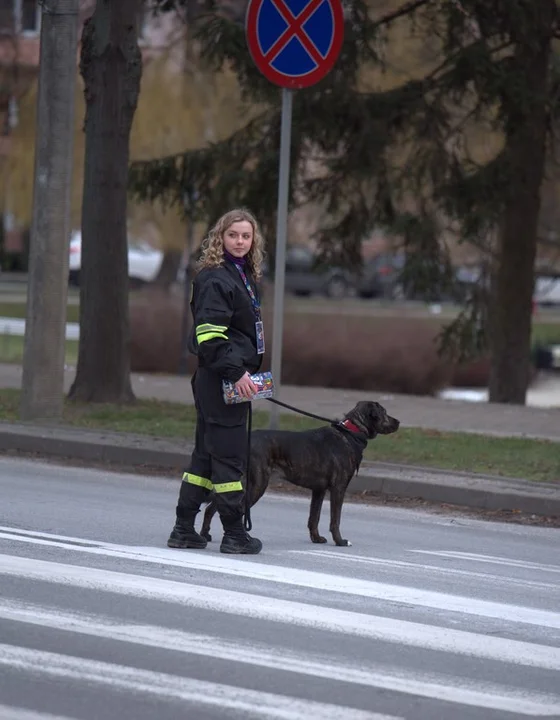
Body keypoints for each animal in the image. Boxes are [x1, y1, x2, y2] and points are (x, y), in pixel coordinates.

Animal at [200, 400, 398, 544]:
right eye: (384, 412)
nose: (398, 422)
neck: (352, 431)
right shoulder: (338, 489)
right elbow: (335, 519)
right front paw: (340, 541)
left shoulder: (318, 490)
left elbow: (313, 518)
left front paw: (316, 538)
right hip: (257, 484)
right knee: (238, 509)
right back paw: (243, 538)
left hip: (238, 483)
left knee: (213, 508)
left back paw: (205, 535)